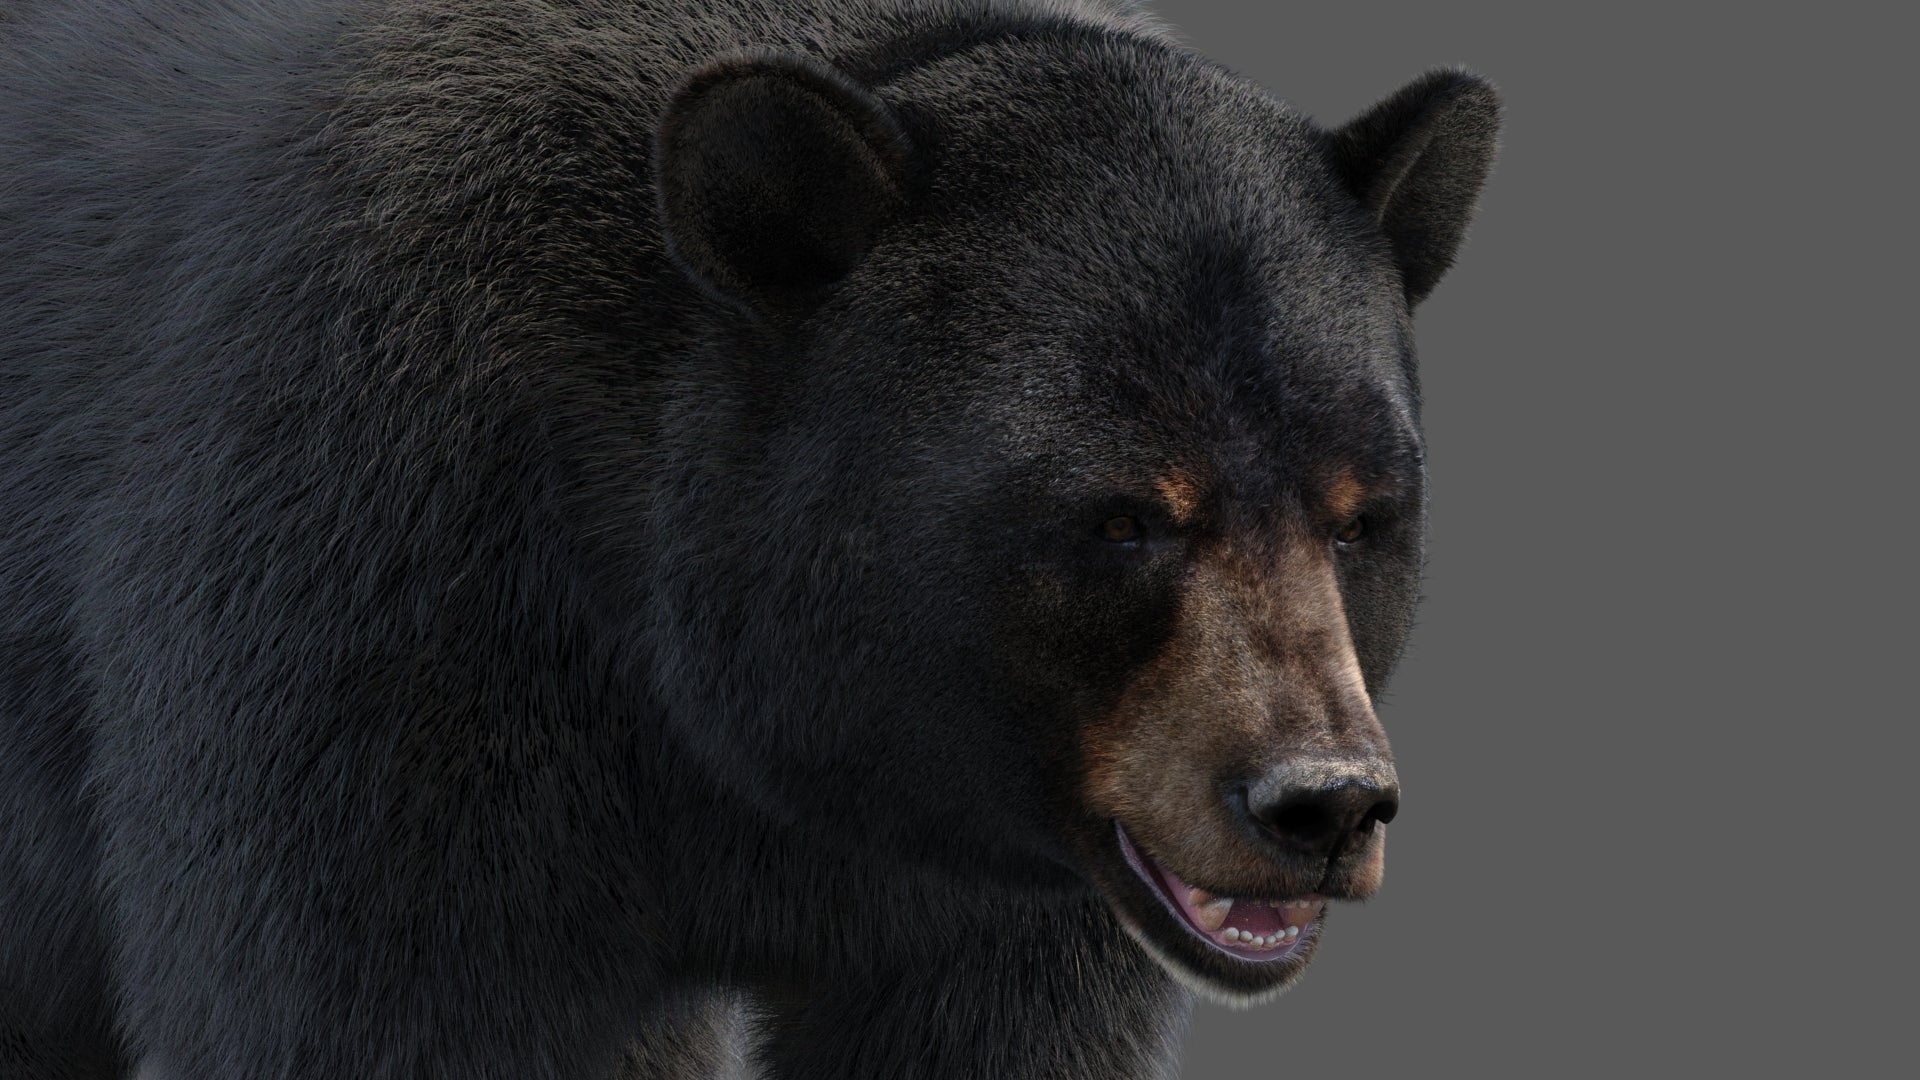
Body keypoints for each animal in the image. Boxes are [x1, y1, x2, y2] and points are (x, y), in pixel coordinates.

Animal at [0, 0, 1499, 1076]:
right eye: (1125, 514)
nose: (1321, 804)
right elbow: (379, 994)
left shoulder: (1014, 883)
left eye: (1360, 513)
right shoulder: (373, 589)